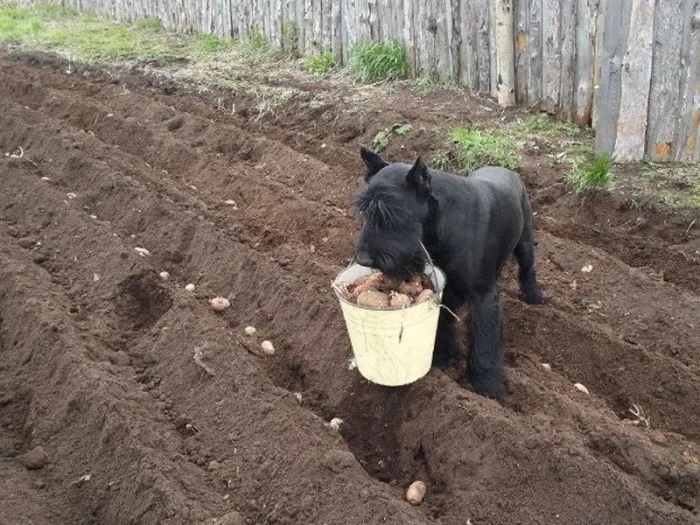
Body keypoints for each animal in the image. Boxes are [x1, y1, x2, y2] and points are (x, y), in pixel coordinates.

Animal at [352, 147, 544, 398]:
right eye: (365, 212)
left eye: (392, 214)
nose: (363, 259)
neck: (440, 224)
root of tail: (509, 171)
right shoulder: (442, 287)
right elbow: (442, 325)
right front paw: (442, 357)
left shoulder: (483, 296)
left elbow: (484, 340)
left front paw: (486, 386)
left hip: (525, 243)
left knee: (527, 269)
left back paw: (534, 297)